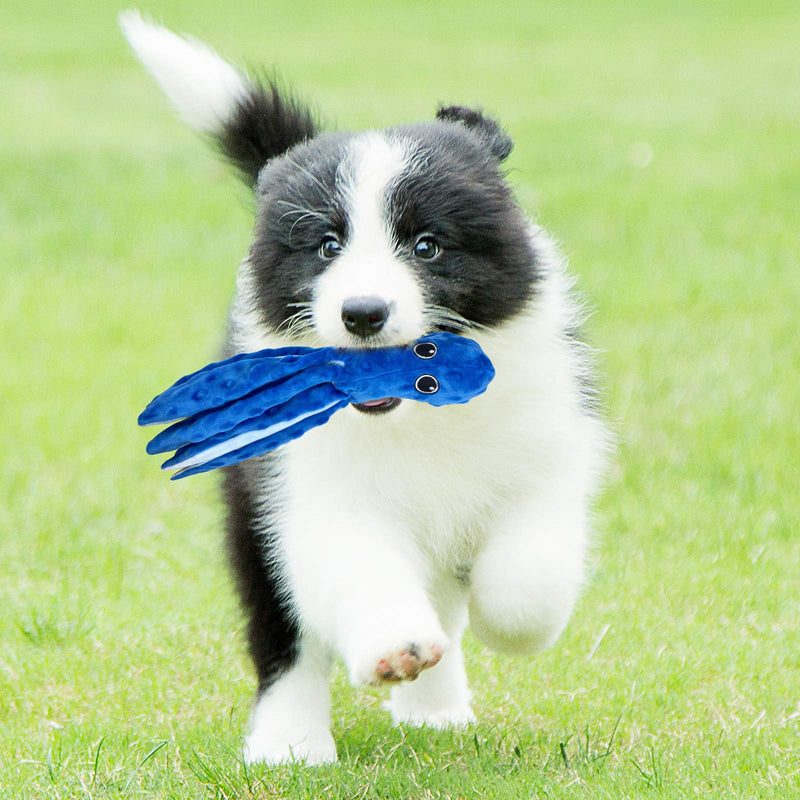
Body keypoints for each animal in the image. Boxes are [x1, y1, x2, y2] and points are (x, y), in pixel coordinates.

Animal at [120, 9, 608, 764]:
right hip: (252, 511)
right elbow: (359, 567)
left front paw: (508, 624)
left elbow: (529, 575)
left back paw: (435, 711)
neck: (417, 417)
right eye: (326, 246)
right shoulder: (311, 488)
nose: (362, 313)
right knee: (283, 634)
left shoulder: (549, 448)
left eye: (427, 245)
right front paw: (394, 647)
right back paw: (289, 743)